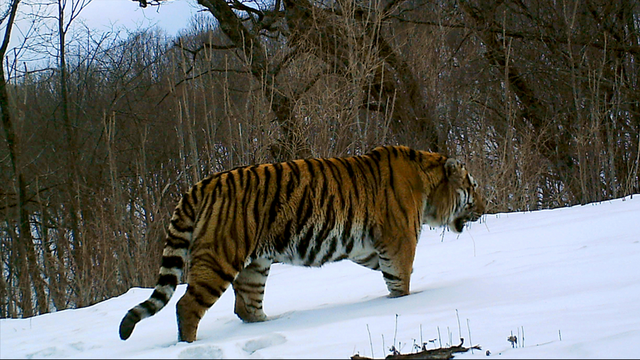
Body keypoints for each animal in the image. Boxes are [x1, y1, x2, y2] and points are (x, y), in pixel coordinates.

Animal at [117, 145, 484, 342]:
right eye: (473, 186)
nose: (485, 204)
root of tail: (199, 185)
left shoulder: (369, 248)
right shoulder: (398, 242)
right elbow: (401, 281)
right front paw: (403, 304)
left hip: (255, 266)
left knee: (245, 306)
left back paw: (273, 327)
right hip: (219, 257)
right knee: (187, 306)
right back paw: (188, 346)